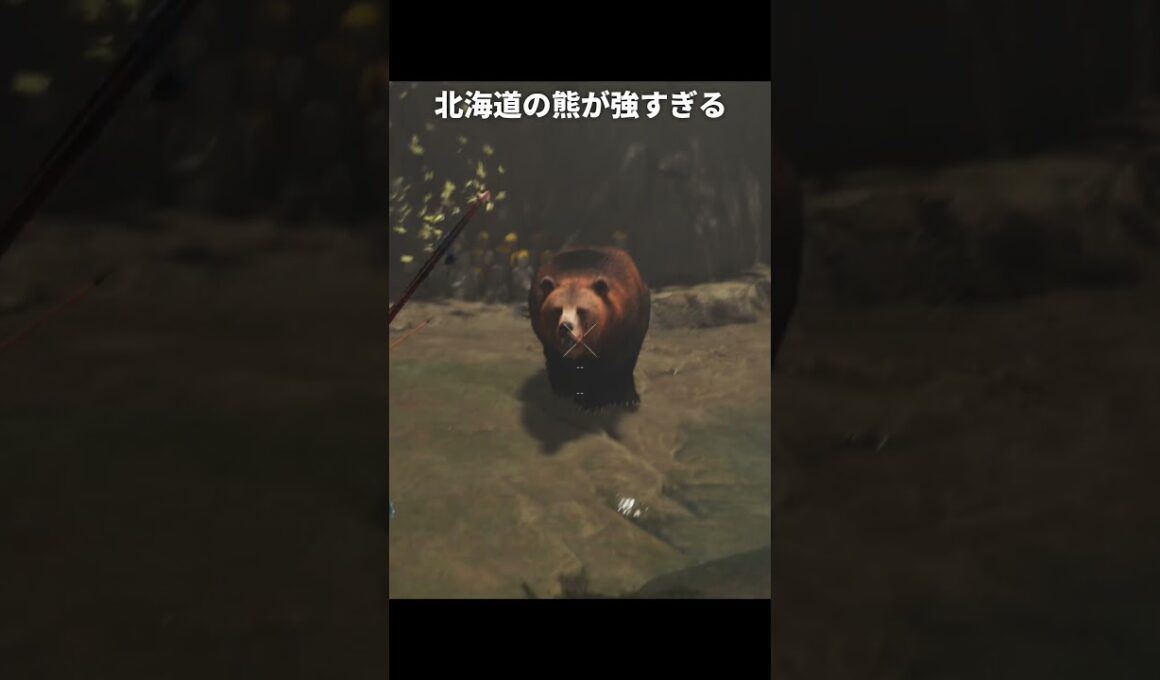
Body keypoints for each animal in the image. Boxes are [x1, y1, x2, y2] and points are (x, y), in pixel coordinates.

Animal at [528, 246, 650, 411]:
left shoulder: (630, 326)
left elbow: (623, 363)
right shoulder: (547, 336)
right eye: (557, 310)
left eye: (581, 310)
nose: (565, 327)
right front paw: (586, 397)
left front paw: (626, 397)